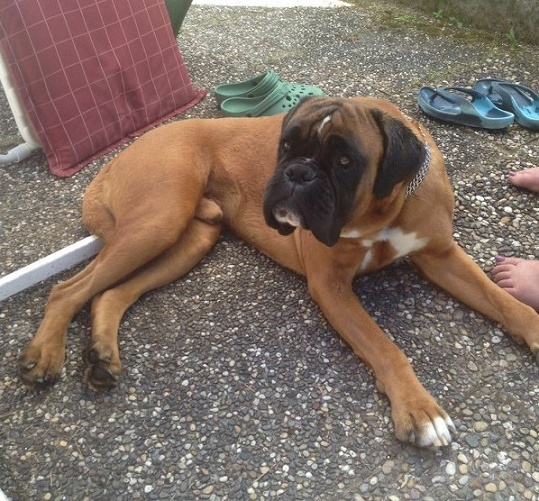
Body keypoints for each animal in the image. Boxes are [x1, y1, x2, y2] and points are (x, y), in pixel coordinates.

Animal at [18, 96, 539, 448]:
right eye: (285, 147)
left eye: (345, 160)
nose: (297, 172)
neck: (383, 211)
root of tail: (120, 156)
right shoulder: (331, 286)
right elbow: (386, 347)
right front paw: (418, 408)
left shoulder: (444, 257)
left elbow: (503, 301)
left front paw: (531, 325)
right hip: (158, 221)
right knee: (67, 288)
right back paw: (44, 355)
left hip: (189, 239)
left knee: (109, 294)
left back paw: (102, 356)